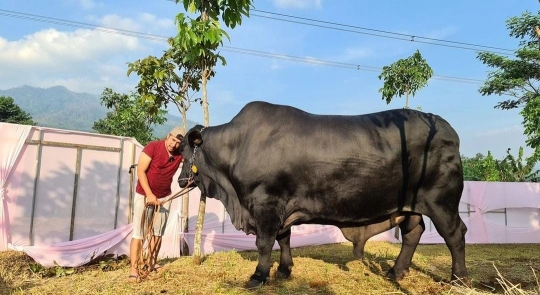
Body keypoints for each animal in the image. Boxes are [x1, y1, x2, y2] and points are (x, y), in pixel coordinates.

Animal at [179, 101, 466, 286]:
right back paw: (396, 272)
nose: (182, 180)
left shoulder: (266, 204)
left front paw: (258, 276)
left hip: (442, 202)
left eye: (182, 152)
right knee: (413, 232)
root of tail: (444, 126)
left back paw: (458, 279)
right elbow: (284, 238)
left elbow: (264, 243)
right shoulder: (282, 207)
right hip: (409, 205)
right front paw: (284, 270)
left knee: (455, 234)